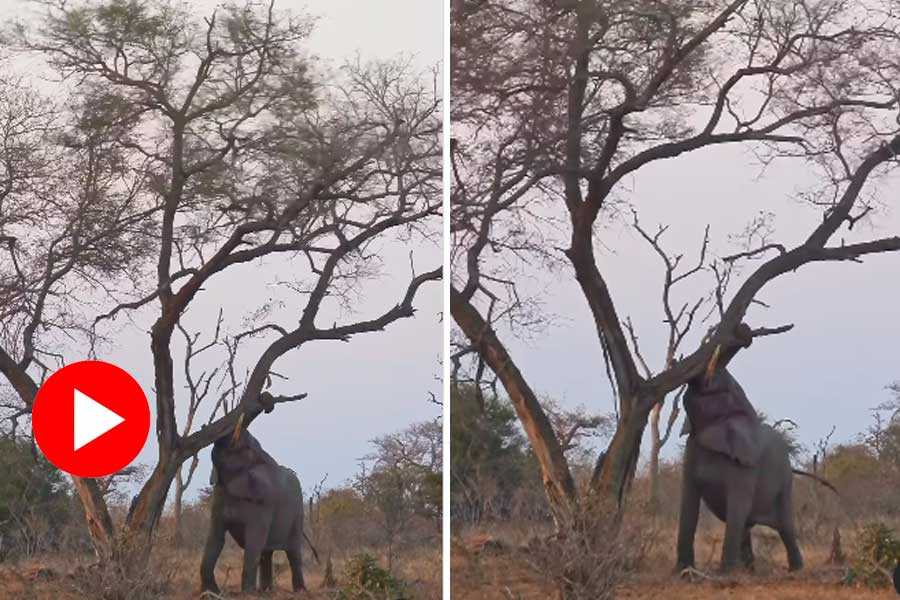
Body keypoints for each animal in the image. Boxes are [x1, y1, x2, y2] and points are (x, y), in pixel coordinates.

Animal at [200, 422, 309, 594]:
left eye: (242, 447)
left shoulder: (263, 502)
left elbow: (254, 541)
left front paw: (247, 594)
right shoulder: (219, 495)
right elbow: (215, 538)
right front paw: (210, 592)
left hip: (298, 513)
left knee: (293, 553)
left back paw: (299, 591)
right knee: (266, 553)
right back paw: (266, 591)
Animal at [675, 365, 837, 574]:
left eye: (723, 390)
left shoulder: (747, 463)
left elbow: (737, 505)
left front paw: (724, 574)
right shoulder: (691, 448)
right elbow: (688, 502)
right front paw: (683, 572)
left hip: (785, 480)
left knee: (785, 526)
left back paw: (795, 570)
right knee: (747, 525)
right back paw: (750, 570)